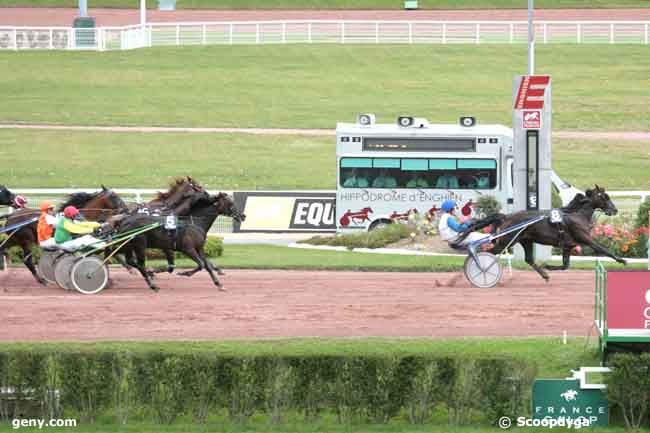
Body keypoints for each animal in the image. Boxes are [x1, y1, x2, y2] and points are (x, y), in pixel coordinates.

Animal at [114, 193, 246, 292]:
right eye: (231, 203)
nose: (243, 216)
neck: (194, 223)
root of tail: (125, 220)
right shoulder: (188, 249)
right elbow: (200, 264)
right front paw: (184, 273)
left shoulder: (199, 248)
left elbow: (207, 266)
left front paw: (219, 284)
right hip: (140, 244)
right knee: (140, 264)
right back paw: (153, 285)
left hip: (128, 245)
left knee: (129, 260)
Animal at [458, 185, 624, 280]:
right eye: (605, 197)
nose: (615, 210)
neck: (577, 214)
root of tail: (507, 217)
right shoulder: (586, 239)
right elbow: (603, 249)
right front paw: (621, 260)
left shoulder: (567, 246)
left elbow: (565, 265)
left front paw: (548, 267)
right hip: (506, 241)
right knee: (485, 252)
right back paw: (479, 269)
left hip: (526, 241)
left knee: (528, 259)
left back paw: (544, 274)